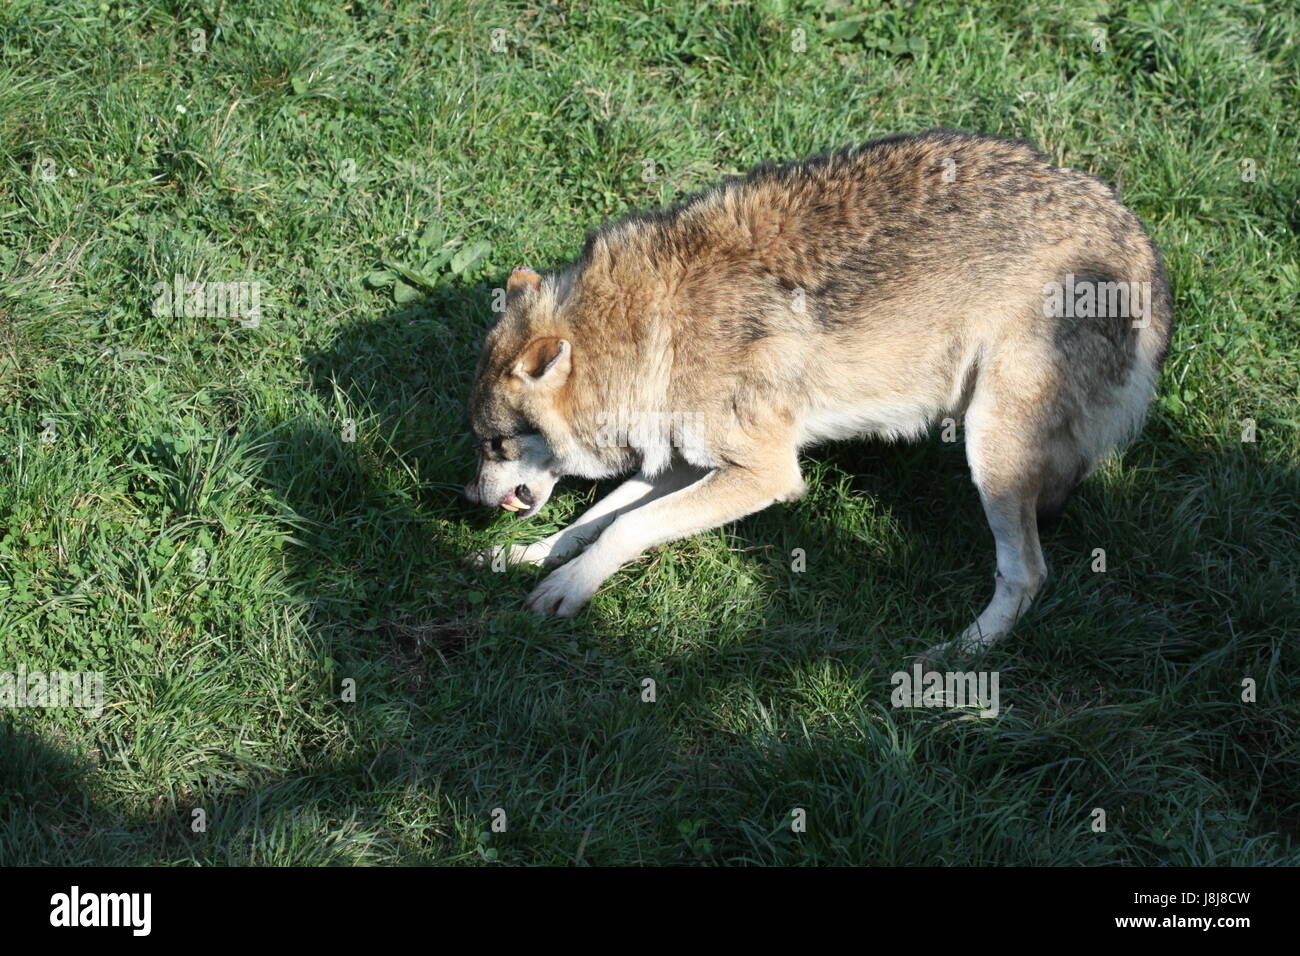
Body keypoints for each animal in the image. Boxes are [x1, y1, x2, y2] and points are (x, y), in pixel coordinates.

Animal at [462, 128, 1175, 650]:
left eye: (495, 445)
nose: (467, 498)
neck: (654, 329)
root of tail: (1143, 249)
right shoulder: (685, 460)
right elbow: (593, 519)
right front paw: (531, 554)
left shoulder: (766, 474)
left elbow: (627, 528)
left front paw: (568, 589)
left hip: (989, 447)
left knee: (1027, 573)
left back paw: (956, 659)